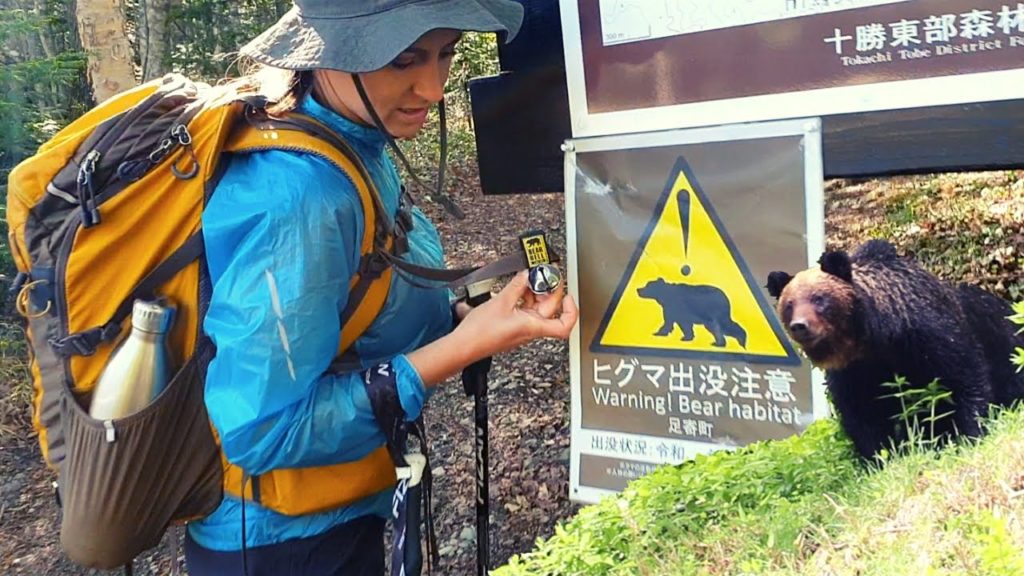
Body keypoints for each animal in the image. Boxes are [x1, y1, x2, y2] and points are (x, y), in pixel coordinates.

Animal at [766, 239, 1024, 460]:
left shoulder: (931, 336)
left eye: (819, 298)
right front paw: (880, 457)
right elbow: (862, 416)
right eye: (789, 304)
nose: (800, 326)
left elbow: (964, 379)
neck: (878, 340)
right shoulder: (853, 372)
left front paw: (969, 434)